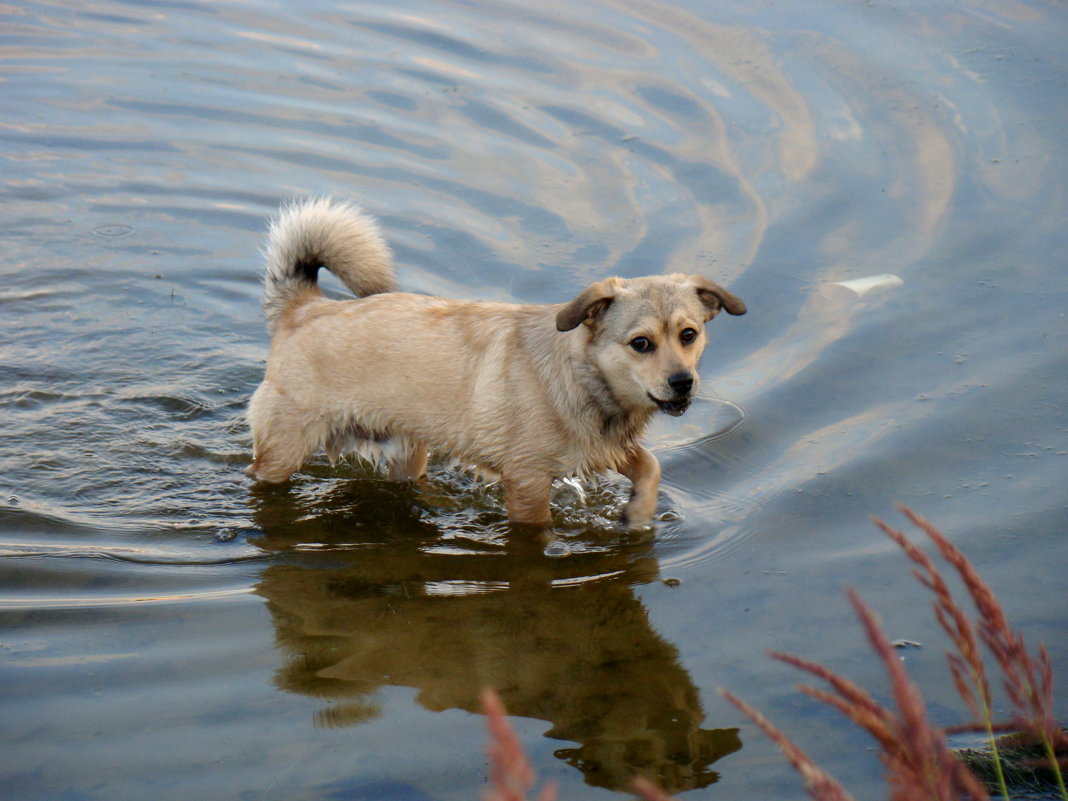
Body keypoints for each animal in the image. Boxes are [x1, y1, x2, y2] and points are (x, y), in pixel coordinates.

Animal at [244, 198, 743, 529]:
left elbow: (650, 465)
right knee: (258, 476)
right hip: (283, 451)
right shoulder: (527, 482)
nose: (683, 382)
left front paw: (638, 511)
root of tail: (303, 307)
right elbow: (536, 530)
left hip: (408, 451)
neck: (582, 376)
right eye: (641, 343)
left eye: (689, 335)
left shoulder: (603, 449)